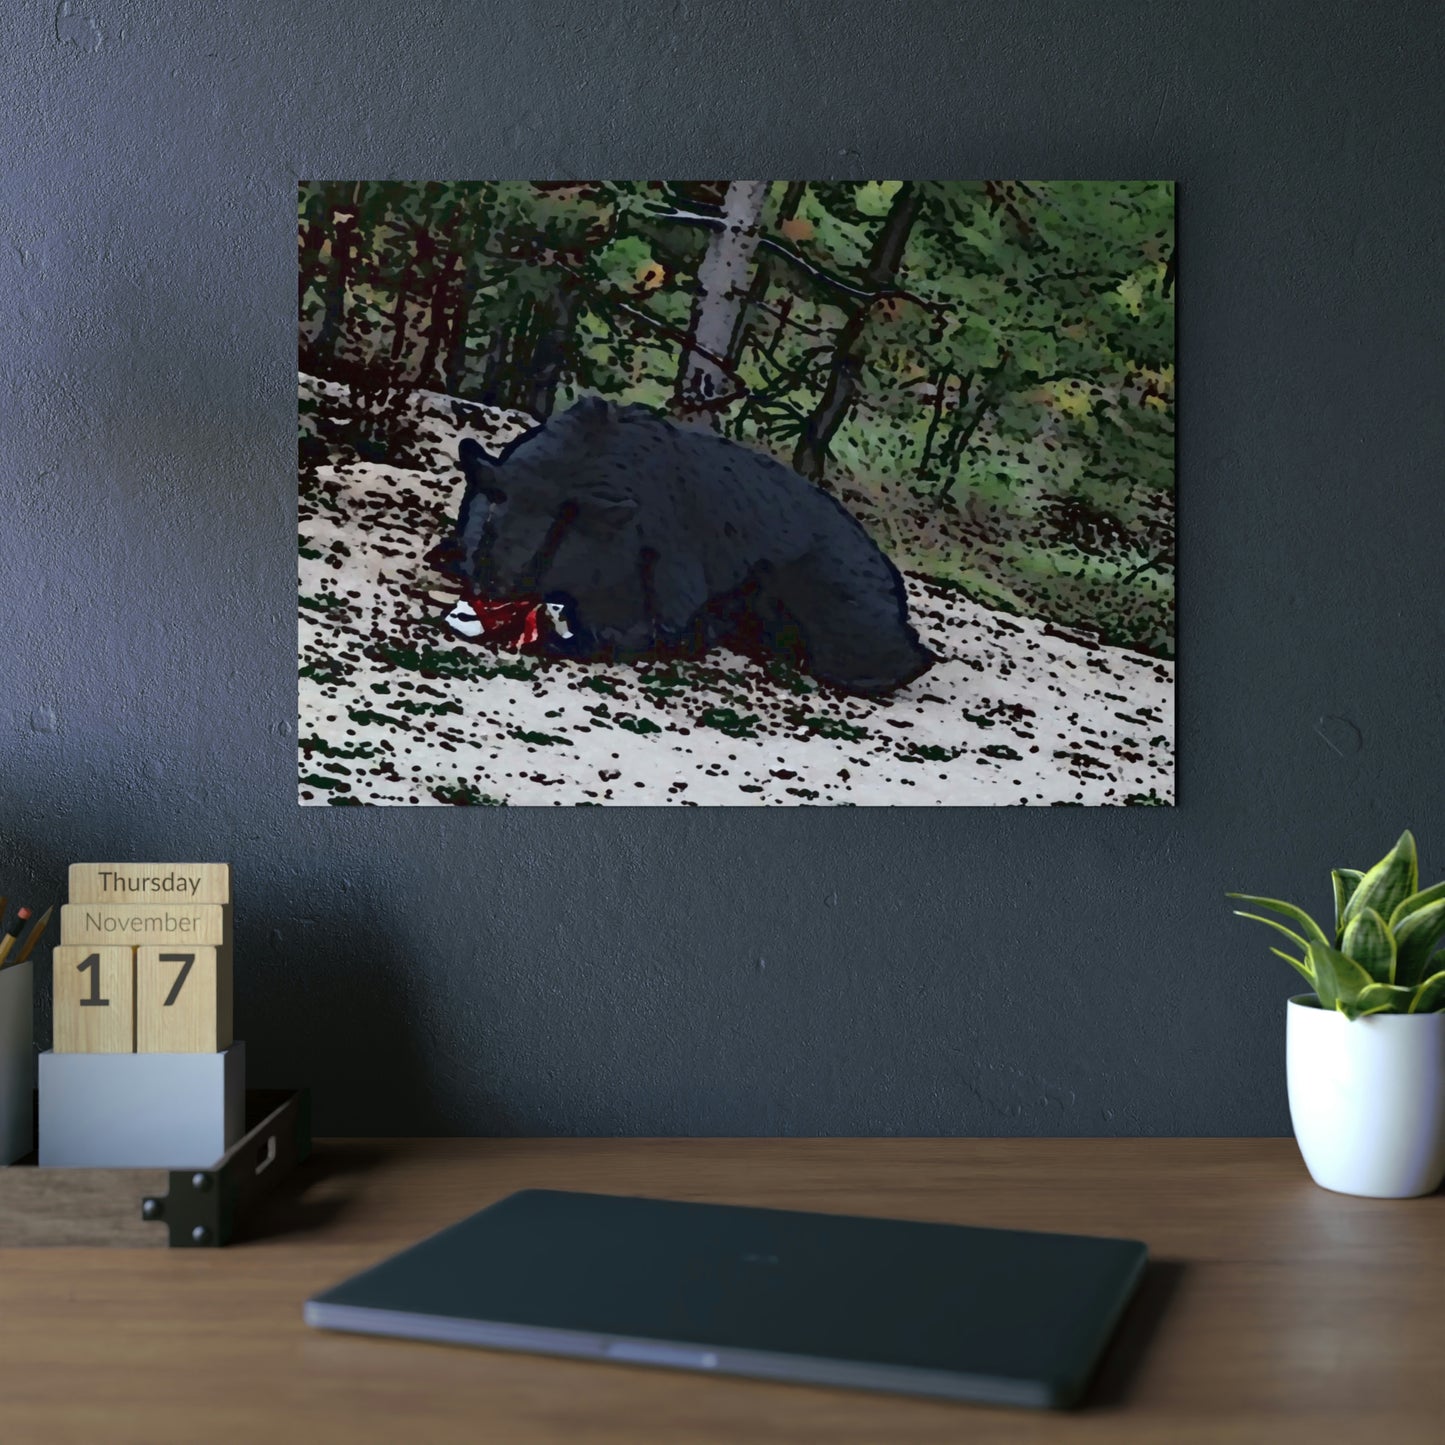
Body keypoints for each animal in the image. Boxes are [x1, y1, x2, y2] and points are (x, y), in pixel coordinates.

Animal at [429, 396, 936, 696]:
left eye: (546, 550)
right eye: (488, 528)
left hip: (835, 606)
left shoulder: (659, 586)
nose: (491, 589)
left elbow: (626, 630)